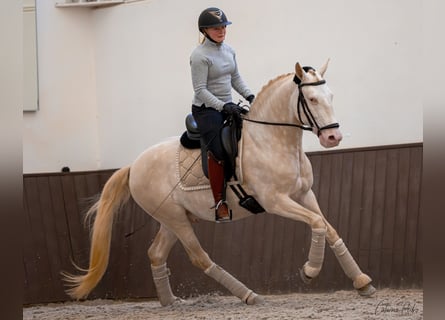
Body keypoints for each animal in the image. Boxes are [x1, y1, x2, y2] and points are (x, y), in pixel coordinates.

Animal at [63, 60, 374, 308]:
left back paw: (170, 302)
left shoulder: (304, 194)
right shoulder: (276, 201)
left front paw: (362, 281)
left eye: (330, 95)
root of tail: (134, 166)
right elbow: (318, 224)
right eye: (311, 99)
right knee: (200, 258)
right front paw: (309, 271)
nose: (333, 138)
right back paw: (249, 295)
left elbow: (328, 228)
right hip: (176, 220)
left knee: (156, 254)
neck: (272, 140)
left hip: (172, 219)